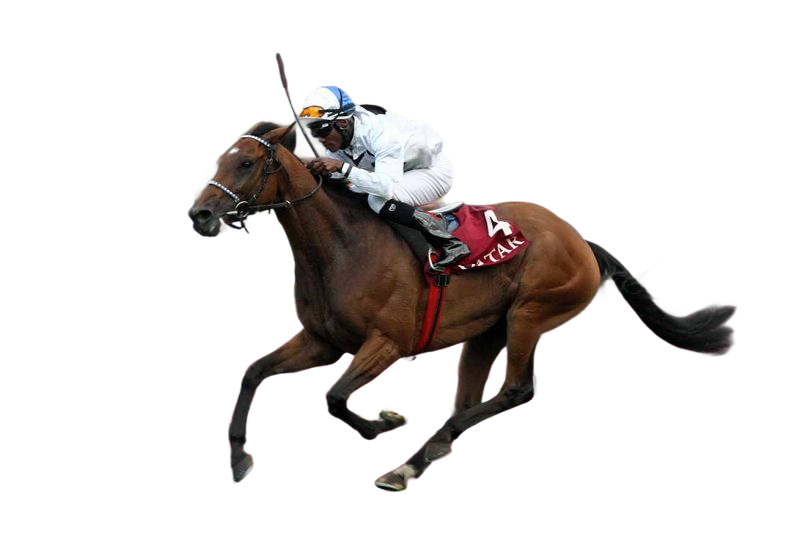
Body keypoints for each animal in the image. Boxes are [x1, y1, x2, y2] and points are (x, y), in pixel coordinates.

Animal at [187, 118, 739, 492]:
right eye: (218, 157)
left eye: (245, 162)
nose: (199, 215)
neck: (338, 246)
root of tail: (580, 238)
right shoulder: (321, 340)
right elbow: (253, 373)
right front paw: (239, 460)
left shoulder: (387, 343)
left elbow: (334, 396)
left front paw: (384, 421)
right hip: (486, 331)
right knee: (468, 399)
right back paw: (424, 455)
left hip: (531, 312)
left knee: (516, 388)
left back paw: (413, 458)